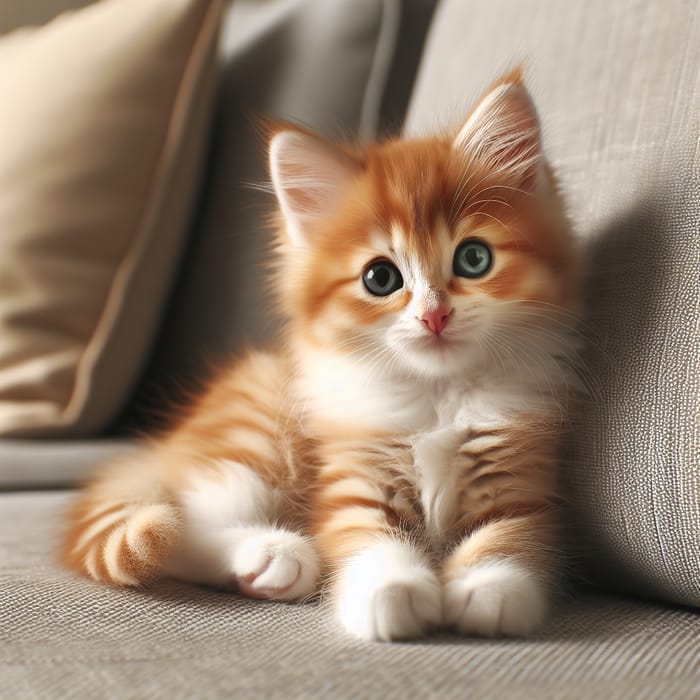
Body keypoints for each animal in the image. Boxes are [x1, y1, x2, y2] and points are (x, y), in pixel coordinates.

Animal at [64, 74, 580, 644]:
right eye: (380, 278)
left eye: (473, 258)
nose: (435, 316)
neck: (437, 395)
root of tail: (167, 446)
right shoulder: (351, 467)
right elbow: (364, 531)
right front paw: (391, 588)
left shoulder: (522, 465)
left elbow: (515, 528)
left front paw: (490, 585)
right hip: (255, 435)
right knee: (180, 523)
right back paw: (273, 553)